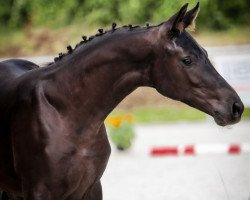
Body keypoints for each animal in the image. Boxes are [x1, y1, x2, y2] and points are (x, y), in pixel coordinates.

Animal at [0, 3, 243, 200]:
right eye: (187, 60)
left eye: (206, 53)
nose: (236, 107)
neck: (65, 112)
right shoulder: (40, 191)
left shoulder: (91, 189)